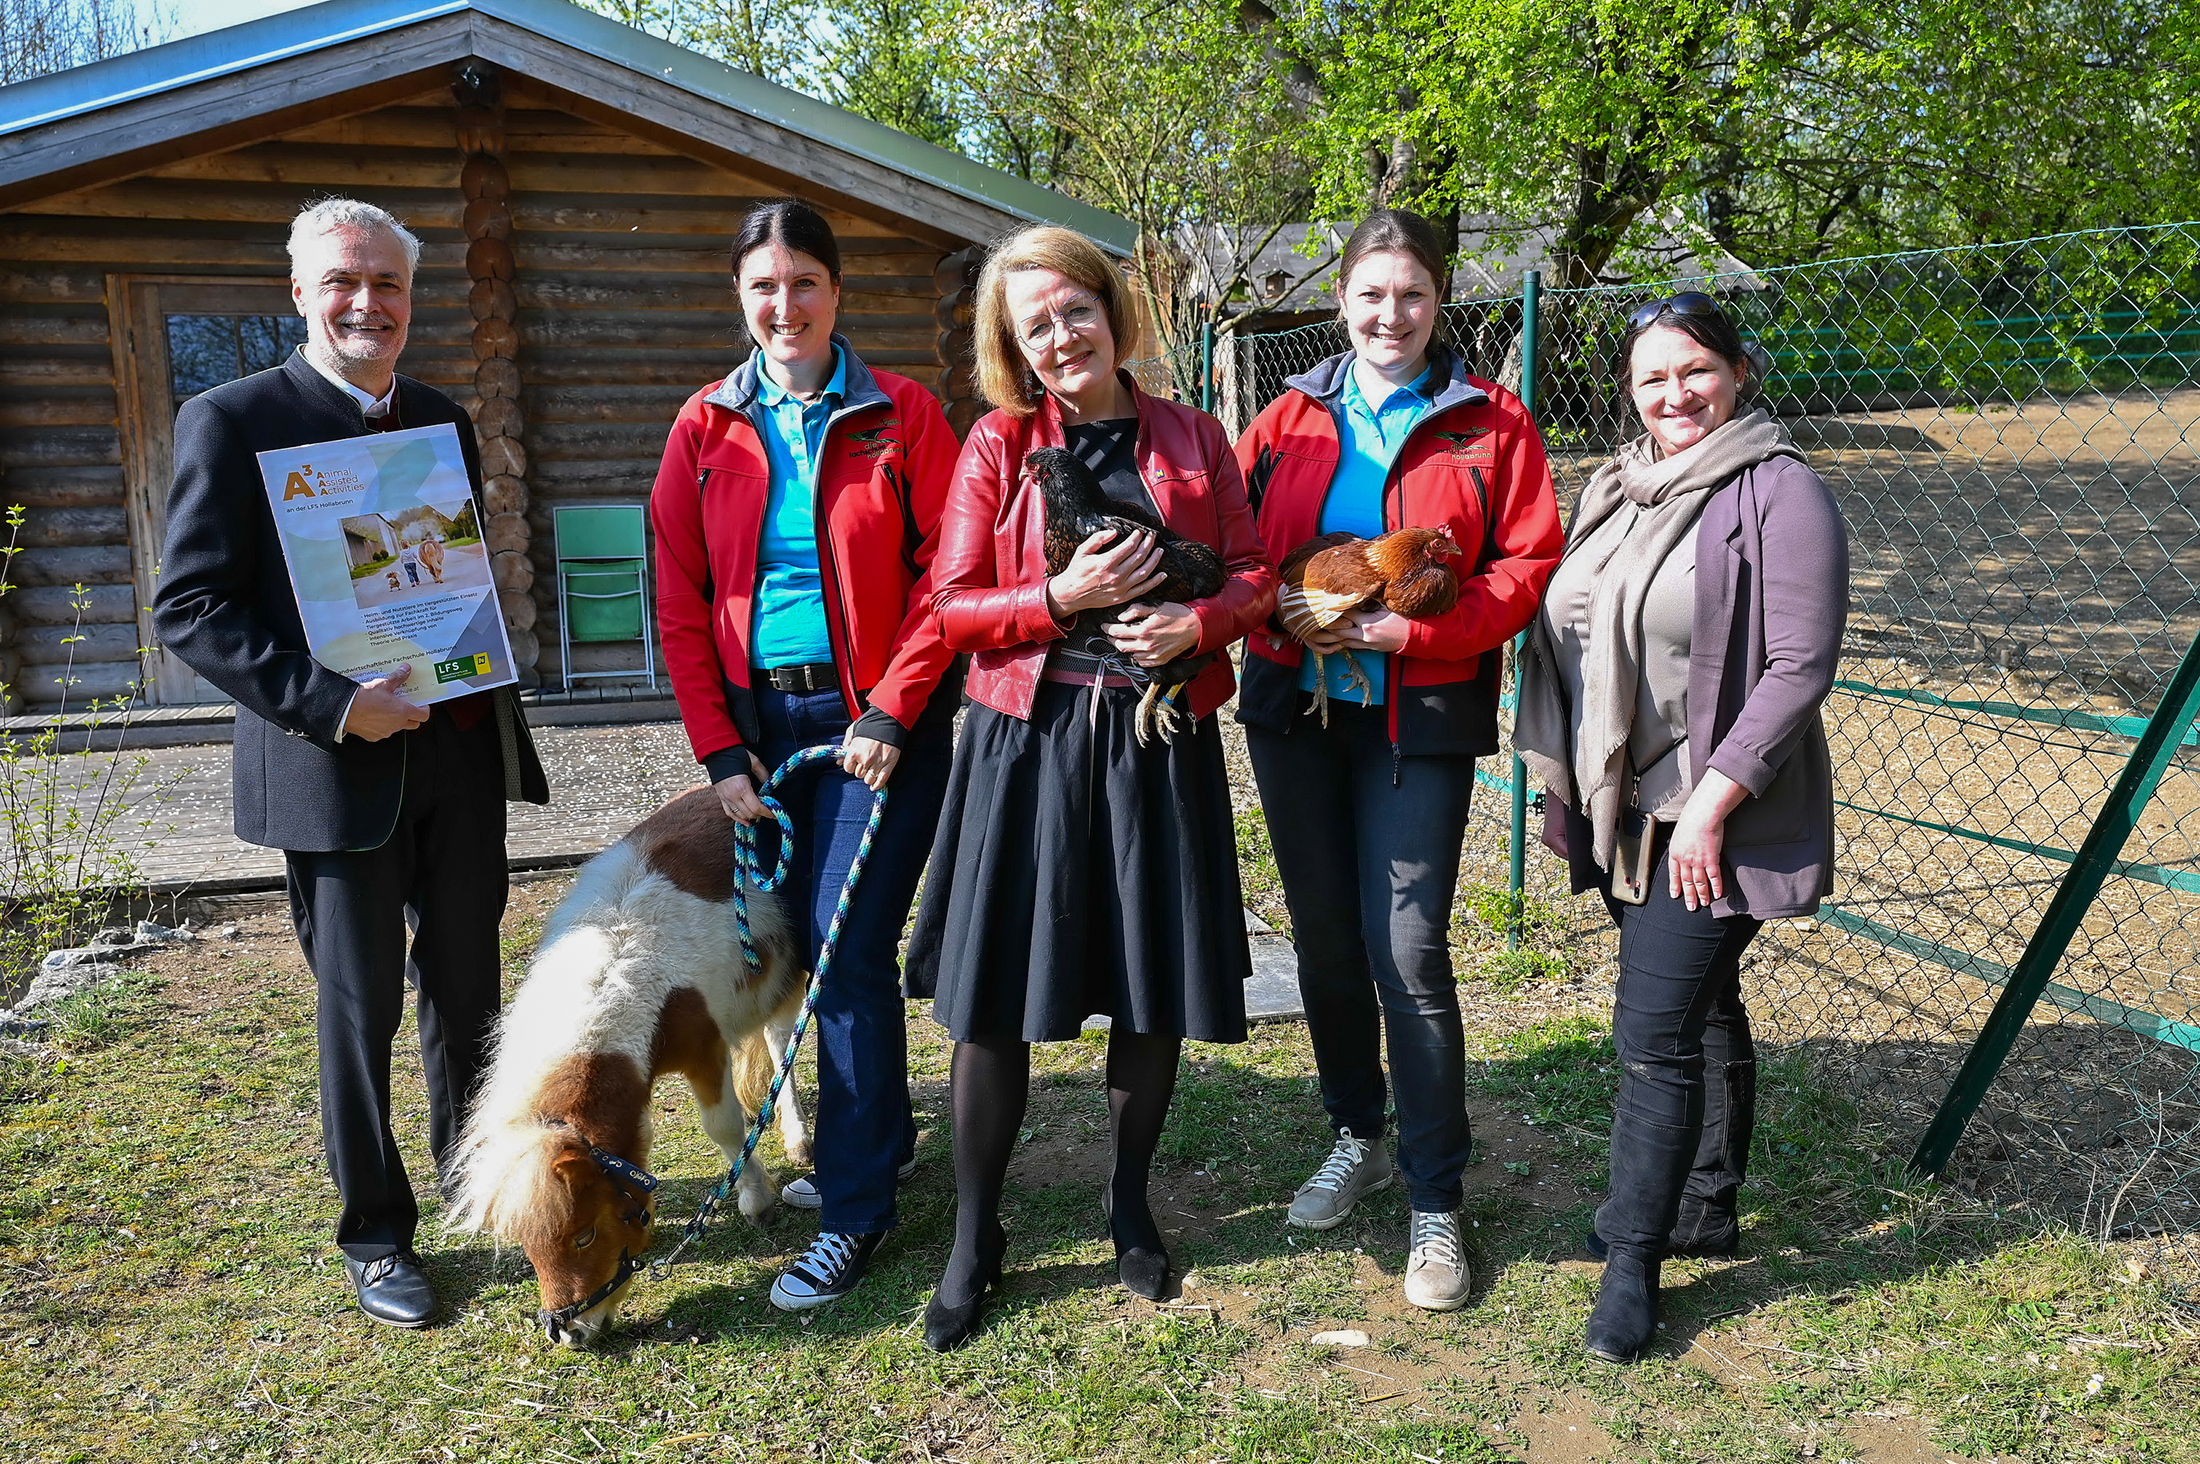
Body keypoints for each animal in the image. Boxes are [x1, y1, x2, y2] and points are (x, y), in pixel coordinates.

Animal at [446, 788, 818, 1347]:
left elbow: (725, 1126)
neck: (631, 962)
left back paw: (797, 1138)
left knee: (781, 1039)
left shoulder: (705, 1047)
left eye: (584, 1236)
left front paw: (755, 1201)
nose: (567, 1332)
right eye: (528, 1245)